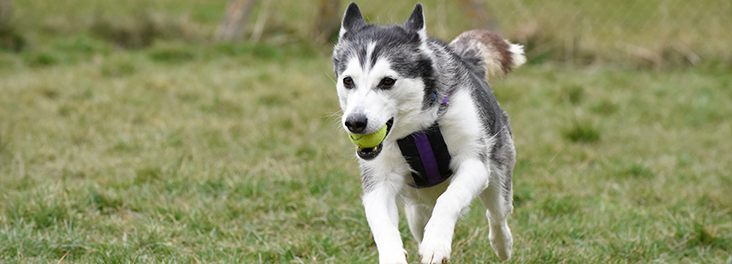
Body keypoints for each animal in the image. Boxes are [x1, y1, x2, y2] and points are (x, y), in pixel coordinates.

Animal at [332, 2, 528, 264]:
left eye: (387, 81)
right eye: (348, 81)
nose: (354, 123)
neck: (417, 129)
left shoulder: (474, 163)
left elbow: (449, 200)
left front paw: (436, 243)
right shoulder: (378, 181)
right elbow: (381, 223)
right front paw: (393, 255)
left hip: (497, 180)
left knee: (497, 214)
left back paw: (502, 245)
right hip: (416, 212)